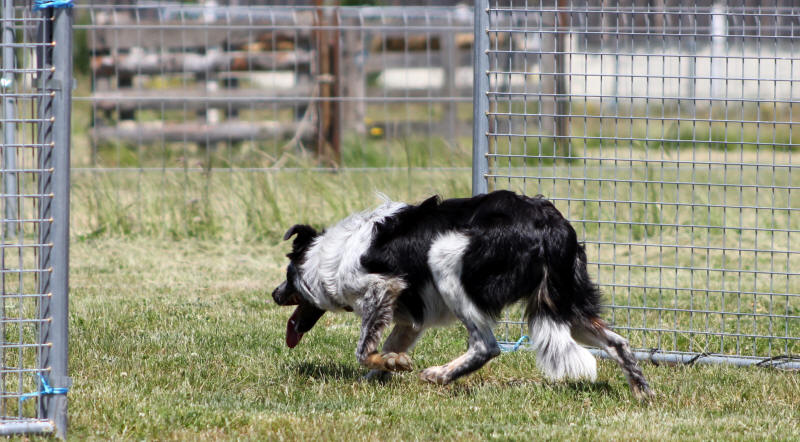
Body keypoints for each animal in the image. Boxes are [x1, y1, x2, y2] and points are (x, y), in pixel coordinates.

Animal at [272, 192, 652, 398]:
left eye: (288, 278)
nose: (274, 295)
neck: (330, 258)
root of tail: (549, 222)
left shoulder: (383, 289)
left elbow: (363, 351)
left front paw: (392, 365)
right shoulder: (408, 321)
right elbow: (386, 350)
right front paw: (388, 368)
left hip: (444, 260)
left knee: (486, 345)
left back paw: (441, 375)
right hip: (565, 303)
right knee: (618, 343)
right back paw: (642, 392)